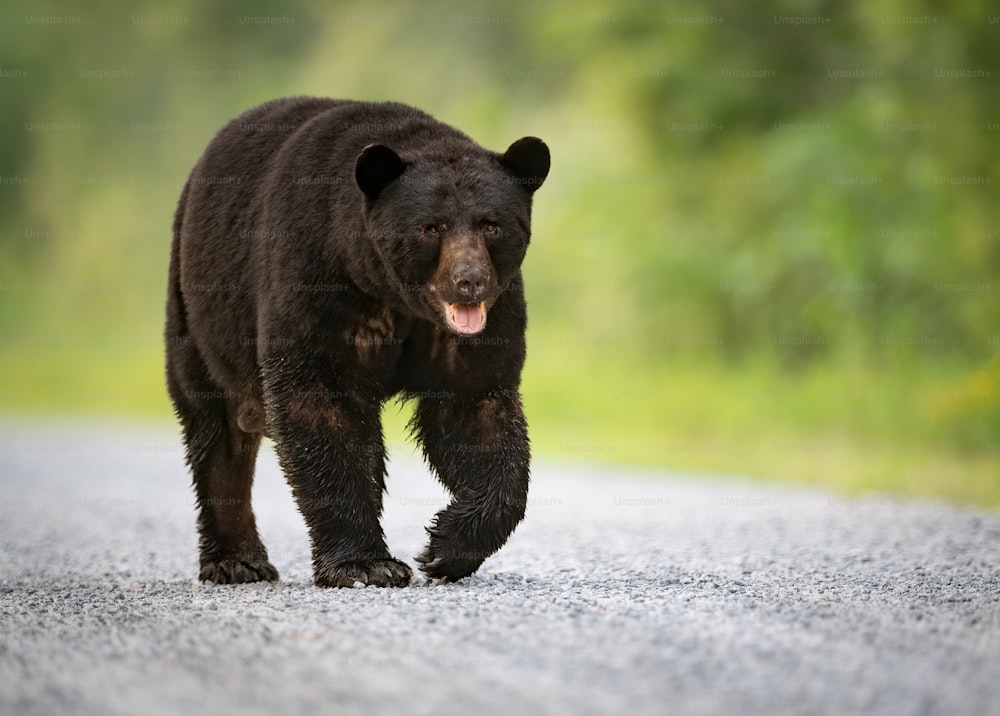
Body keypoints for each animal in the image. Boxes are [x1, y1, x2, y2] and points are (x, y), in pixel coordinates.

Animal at [167, 96, 552, 588]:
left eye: (492, 225)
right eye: (431, 226)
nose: (470, 281)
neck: (391, 293)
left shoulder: (479, 328)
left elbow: (477, 412)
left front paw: (445, 547)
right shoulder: (319, 284)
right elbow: (322, 407)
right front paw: (366, 565)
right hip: (197, 309)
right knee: (217, 429)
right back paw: (237, 561)